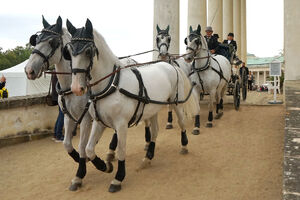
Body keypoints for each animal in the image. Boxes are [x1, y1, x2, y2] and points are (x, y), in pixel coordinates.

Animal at [65, 18, 197, 192]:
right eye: (69, 51)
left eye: (88, 51)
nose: (76, 88)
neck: (111, 84)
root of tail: (170, 65)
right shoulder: (99, 122)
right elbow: (88, 149)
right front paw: (105, 166)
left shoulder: (121, 124)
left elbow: (121, 150)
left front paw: (118, 178)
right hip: (152, 109)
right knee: (155, 131)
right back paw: (148, 157)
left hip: (175, 103)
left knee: (181, 122)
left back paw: (184, 146)